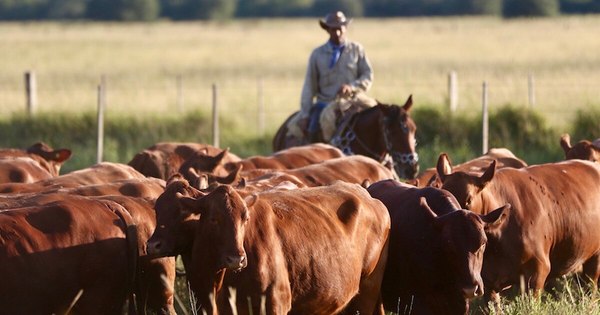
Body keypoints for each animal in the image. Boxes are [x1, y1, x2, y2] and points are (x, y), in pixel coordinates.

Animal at [145, 180, 390, 315]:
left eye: (245, 218)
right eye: (213, 218)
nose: (237, 259)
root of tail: (371, 198)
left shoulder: (275, 304)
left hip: (367, 292)